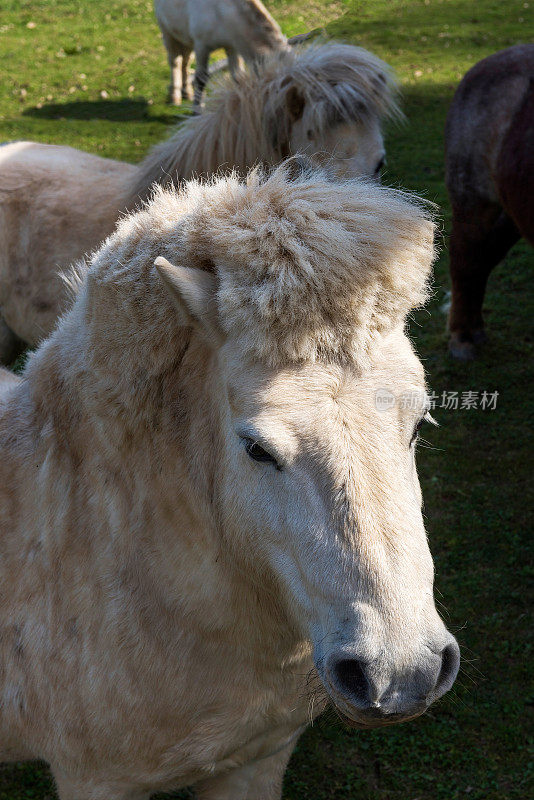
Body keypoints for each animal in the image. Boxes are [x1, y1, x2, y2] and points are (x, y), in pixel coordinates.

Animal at [155, 0, 288, 106]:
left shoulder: (232, 47)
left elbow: (238, 78)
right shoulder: (201, 47)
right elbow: (201, 79)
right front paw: (197, 110)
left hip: (186, 38)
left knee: (186, 61)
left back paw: (187, 92)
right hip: (167, 32)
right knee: (175, 62)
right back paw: (175, 95)